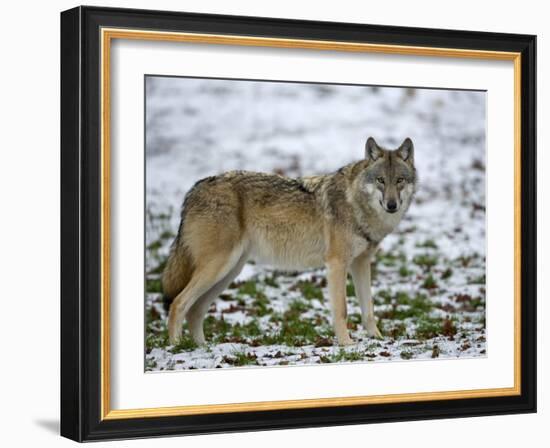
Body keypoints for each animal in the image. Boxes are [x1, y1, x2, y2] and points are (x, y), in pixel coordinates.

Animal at [163, 136, 418, 346]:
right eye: (380, 180)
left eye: (400, 180)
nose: (392, 205)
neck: (356, 204)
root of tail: (194, 189)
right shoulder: (336, 264)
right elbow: (342, 310)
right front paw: (346, 344)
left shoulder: (361, 264)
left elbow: (369, 309)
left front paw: (378, 339)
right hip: (219, 267)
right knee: (178, 303)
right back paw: (177, 347)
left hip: (229, 272)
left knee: (195, 310)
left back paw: (202, 348)